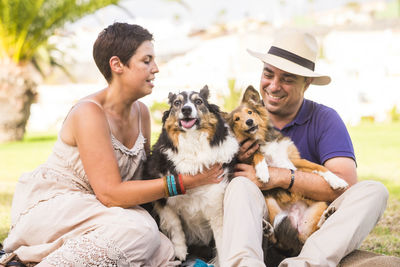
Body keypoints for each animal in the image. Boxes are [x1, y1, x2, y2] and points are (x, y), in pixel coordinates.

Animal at [144, 86, 238, 264]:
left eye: (199, 101)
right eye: (177, 103)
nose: (186, 109)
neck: (192, 141)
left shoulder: (216, 205)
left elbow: (221, 240)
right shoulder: (163, 199)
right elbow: (175, 224)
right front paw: (180, 250)